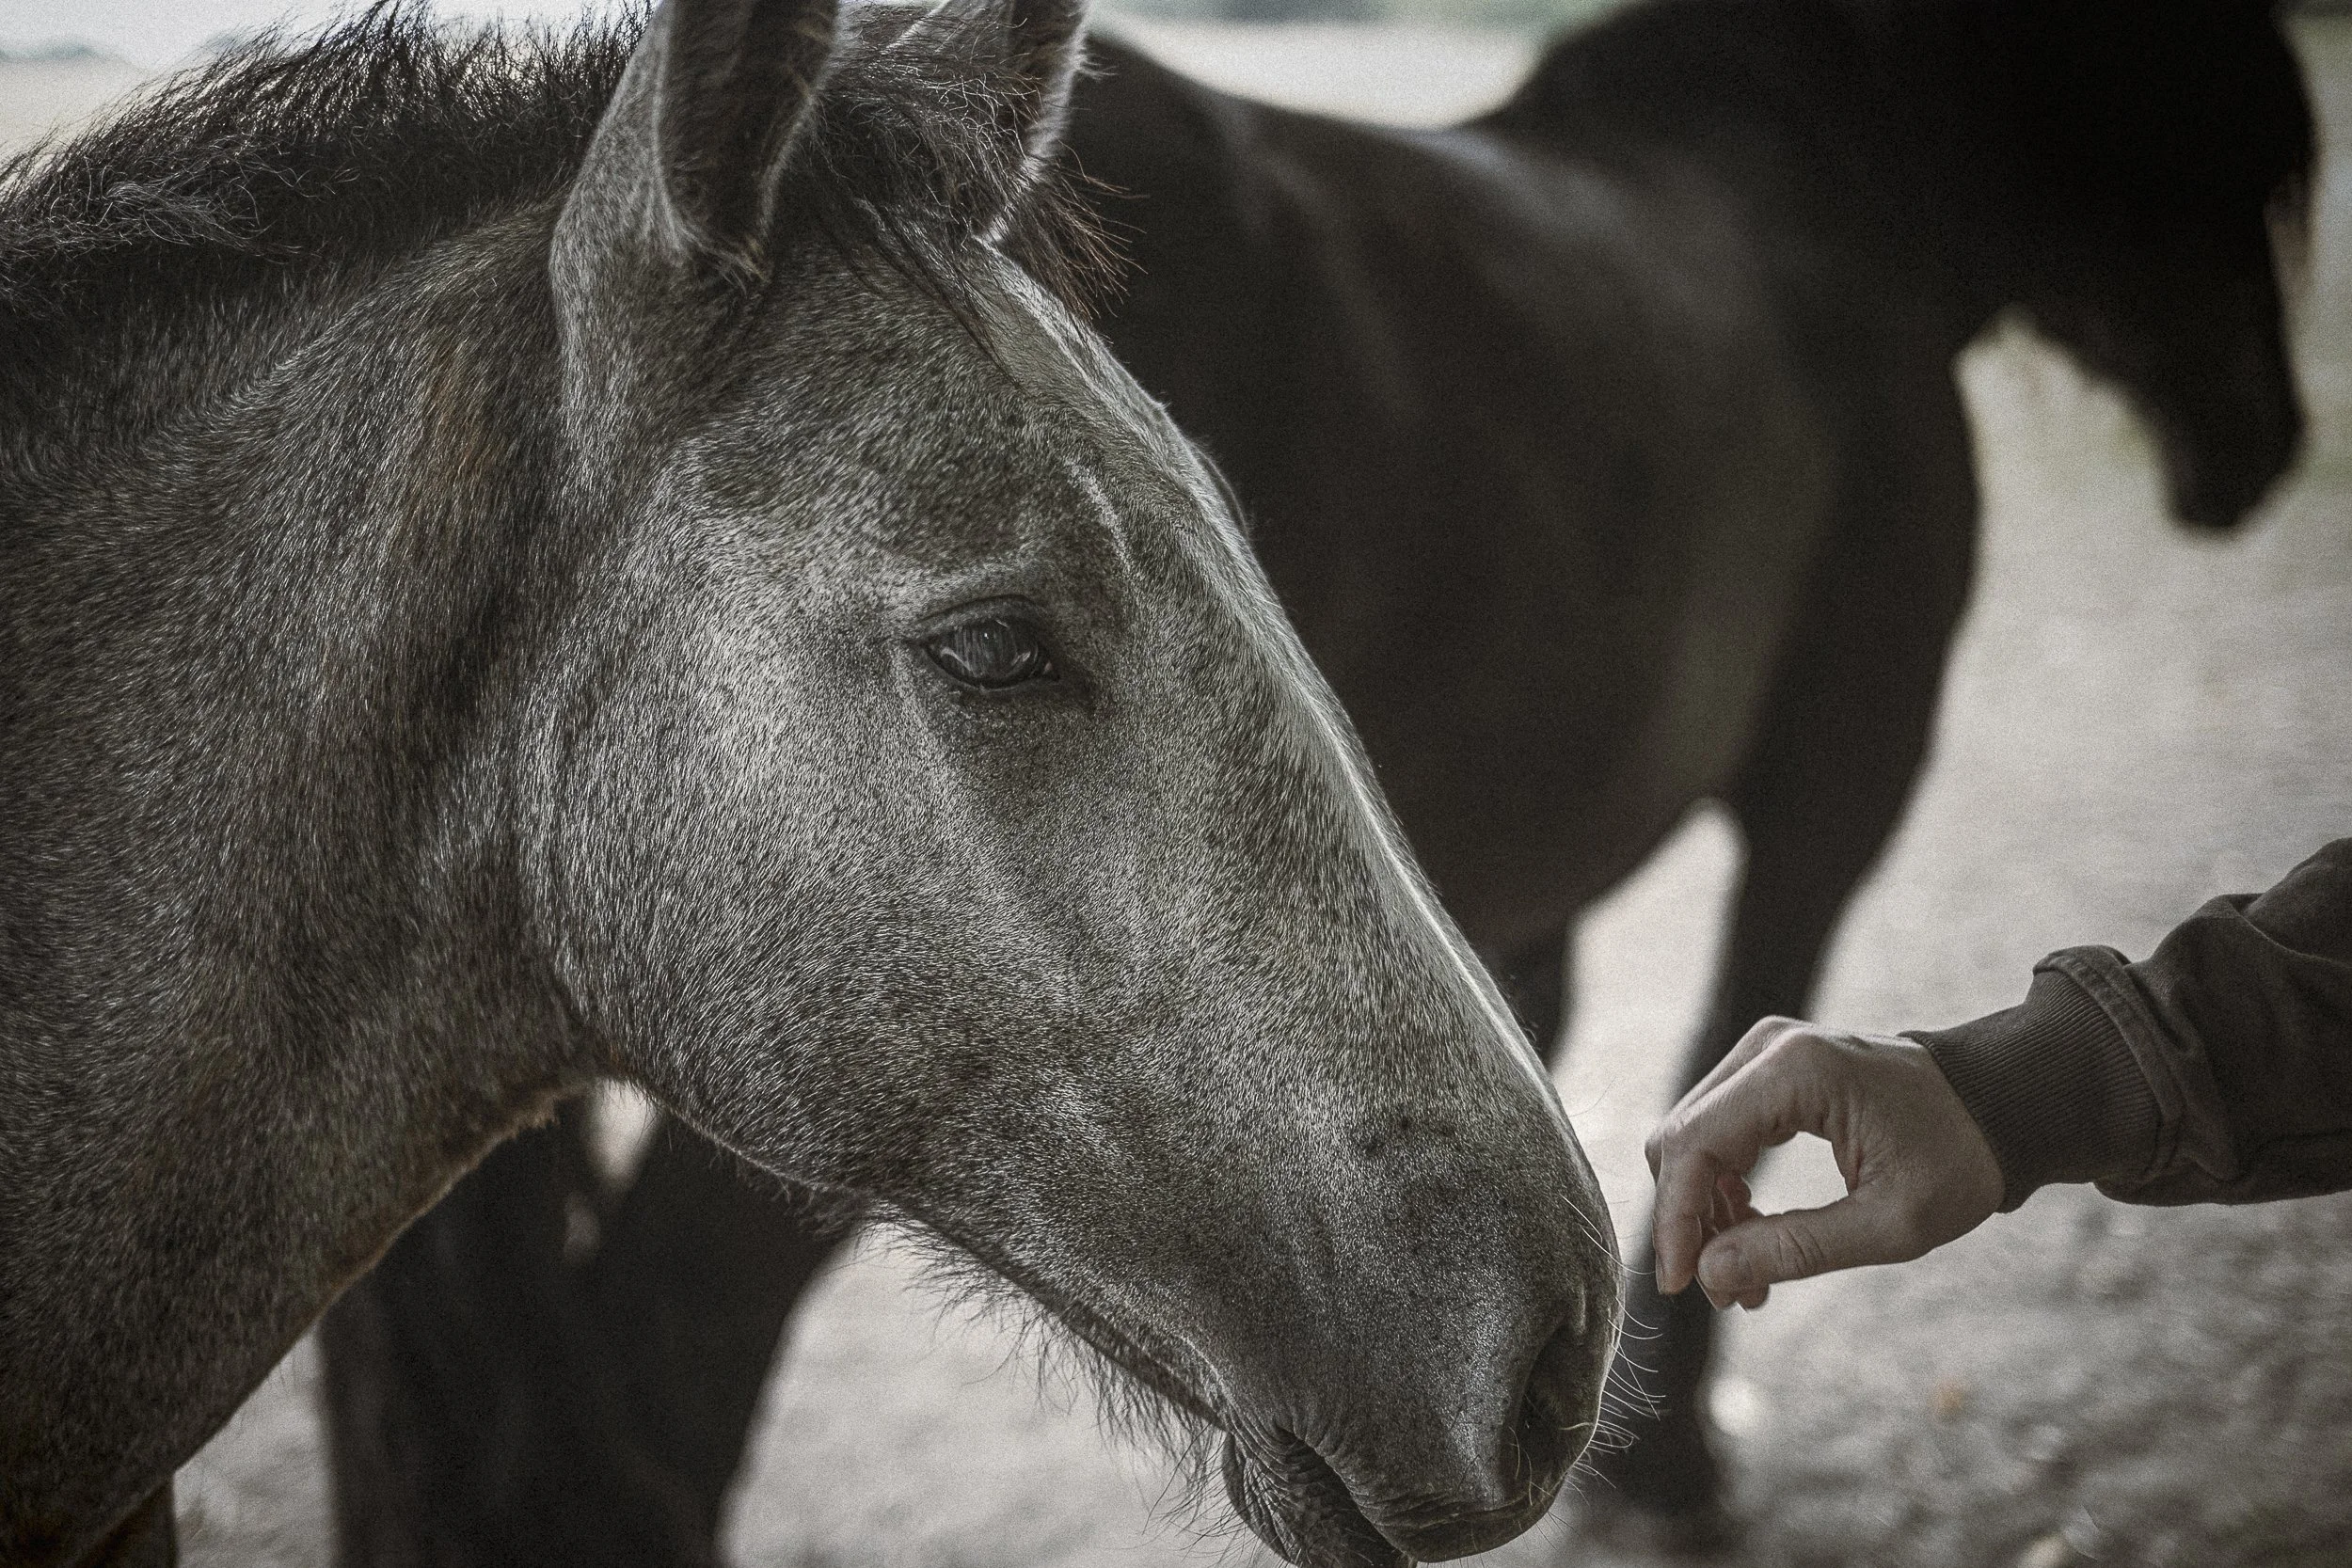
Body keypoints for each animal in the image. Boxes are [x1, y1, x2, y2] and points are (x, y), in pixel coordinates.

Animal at [315, 0, 2316, 1557]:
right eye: (2208, 120)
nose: (2265, 442)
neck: (1824, 193)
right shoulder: (1835, 789)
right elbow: (1745, 1035)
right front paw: (1671, 1459)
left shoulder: (1515, 882)